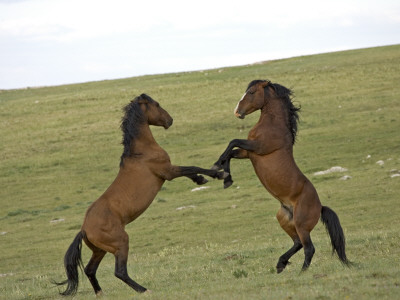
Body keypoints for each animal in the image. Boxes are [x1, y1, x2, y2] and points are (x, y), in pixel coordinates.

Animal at [54, 94, 227, 296]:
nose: (170, 120)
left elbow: (191, 171)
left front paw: (201, 180)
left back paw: (101, 294)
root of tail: (84, 229)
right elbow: (192, 167)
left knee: (90, 270)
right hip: (121, 243)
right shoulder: (168, 171)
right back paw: (144, 290)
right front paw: (219, 174)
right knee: (120, 271)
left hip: (100, 250)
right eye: (157, 105)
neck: (141, 152)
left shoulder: (169, 171)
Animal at [212, 79, 350, 272]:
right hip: (284, 219)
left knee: (309, 248)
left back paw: (301, 272)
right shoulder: (249, 153)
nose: (237, 112)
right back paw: (280, 264)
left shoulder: (257, 147)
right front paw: (226, 178)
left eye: (252, 92)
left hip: (301, 224)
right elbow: (231, 152)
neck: (273, 125)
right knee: (298, 243)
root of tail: (320, 207)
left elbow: (233, 142)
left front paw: (218, 166)